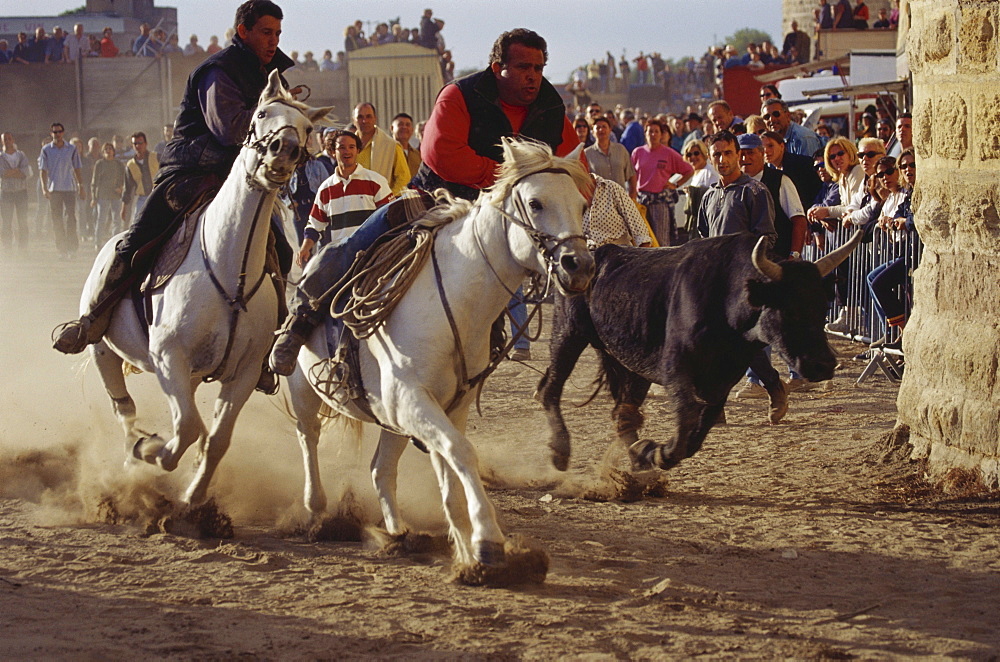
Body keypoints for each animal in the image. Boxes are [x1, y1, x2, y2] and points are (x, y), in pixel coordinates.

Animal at [85, 71, 332, 508]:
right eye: (261, 113)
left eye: (306, 128)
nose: (283, 151)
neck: (228, 268)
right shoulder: (169, 357)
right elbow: (185, 429)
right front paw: (152, 450)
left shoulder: (244, 374)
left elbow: (214, 437)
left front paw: (194, 494)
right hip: (103, 350)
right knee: (124, 409)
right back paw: (134, 451)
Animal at [286, 140, 596, 580]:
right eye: (536, 203)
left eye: (582, 204)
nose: (580, 265)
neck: (452, 299)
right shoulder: (413, 399)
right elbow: (462, 454)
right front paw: (486, 541)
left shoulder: (448, 406)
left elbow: (450, 473)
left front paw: (466, 552)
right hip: (304, 391)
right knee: (308, 438)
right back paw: (315, 510)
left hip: (391, 420)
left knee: (380, 468)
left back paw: (398, 533)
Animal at [536, 231, 864, 474]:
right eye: (791, 310)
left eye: (822, 307)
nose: (825, 365)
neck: (725, 303)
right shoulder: (675, 370)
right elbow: (686, 418)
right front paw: (659, 453)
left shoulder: (722, 381)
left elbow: (698, 431)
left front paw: (649, 452)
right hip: (567, 332)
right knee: (550, 389)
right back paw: (559, 452)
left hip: (629, 361)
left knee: (623, 414)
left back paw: (637, 460)